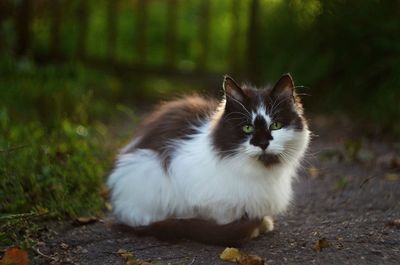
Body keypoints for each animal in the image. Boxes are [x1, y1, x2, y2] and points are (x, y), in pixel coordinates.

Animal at [108, 73, 310, 243]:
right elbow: (223, 217)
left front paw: (263, 223)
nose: (262, 143)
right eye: (247, 128)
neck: (259, 171)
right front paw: (252, 228)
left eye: (276, 125)